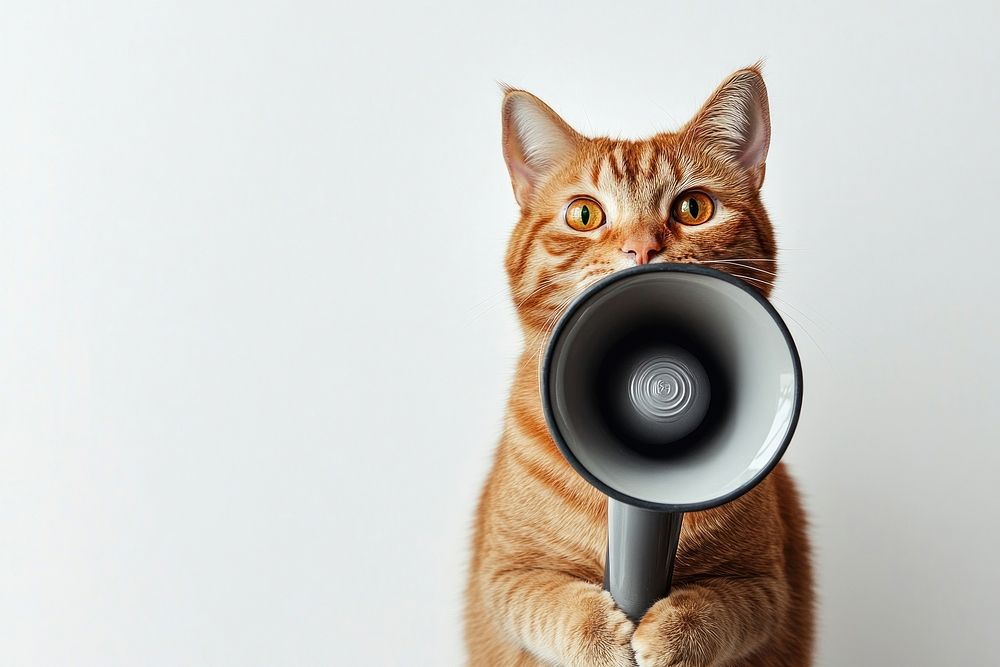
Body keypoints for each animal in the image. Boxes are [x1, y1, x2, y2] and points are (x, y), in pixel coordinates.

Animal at [464, 64, 816, 667]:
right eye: (584, 214)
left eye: (693, 208)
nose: (642, 249)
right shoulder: (505, 574)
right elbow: (549, 604)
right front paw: (604, 637)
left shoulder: (767, 585)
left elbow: (717, 609)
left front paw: (667, 635)